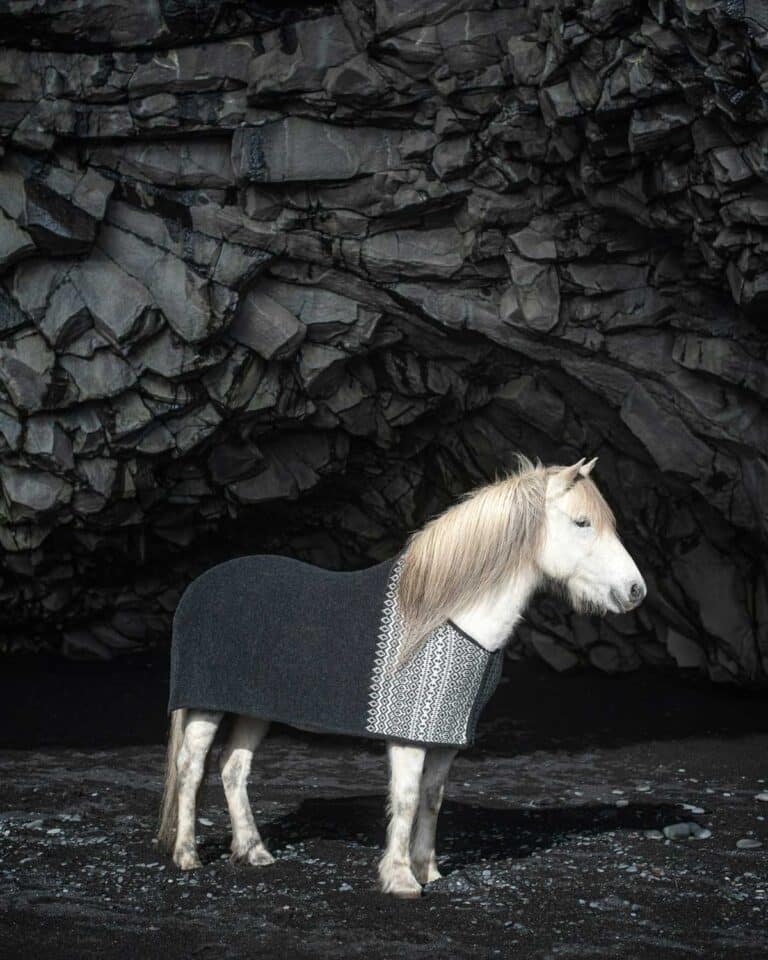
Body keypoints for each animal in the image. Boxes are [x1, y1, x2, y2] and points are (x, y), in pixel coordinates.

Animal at [157, 456, 646, 898]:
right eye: (582, 522)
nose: (635, 591)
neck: (446, 614)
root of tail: (199, 586)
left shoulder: (445, 739)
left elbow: (431, 798)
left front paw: (429, 871)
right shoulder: (408, 737)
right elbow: (407, 798)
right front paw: (400, 879)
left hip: (255, 710)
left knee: (233, 768)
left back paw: (253, 851)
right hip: (205, 706)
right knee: (191, 768)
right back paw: (187, 856)